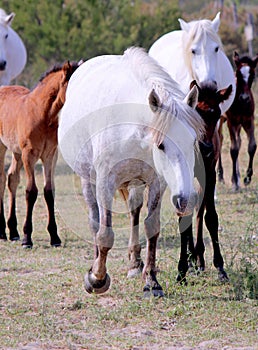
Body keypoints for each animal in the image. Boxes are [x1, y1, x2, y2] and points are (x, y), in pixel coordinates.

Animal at [0, 59, 80, 246]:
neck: (43, 115)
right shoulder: (29, 154)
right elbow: (31, 191)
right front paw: (27, 238)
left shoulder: (50, 155)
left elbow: (49, 192)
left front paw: (55, 237)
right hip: (3, 147)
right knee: (1, 179)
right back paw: (1, 232)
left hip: (15, 152)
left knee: (12, 179)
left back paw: (13, 232)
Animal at [59, 46, 206, 296]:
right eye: (161, 145)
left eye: (193, 141)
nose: (185, 199)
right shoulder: (105, 182)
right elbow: (105, 233)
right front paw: (96, 278)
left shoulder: (156, 182)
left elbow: (151, 227)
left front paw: (151, 282)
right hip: (88, 179)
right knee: (95, 220)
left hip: (136, 183)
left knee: (134, 213)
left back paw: (135, 264)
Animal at [218, 50, 258, 190]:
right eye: (238, 75)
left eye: (252, 75)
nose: (245, 98)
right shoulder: (232, 122)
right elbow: (233, 149)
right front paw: (235, 182)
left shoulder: (248, 120)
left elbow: (252, 146)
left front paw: (247, 178)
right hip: (220, 120)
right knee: (219, 140)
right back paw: (221, 176)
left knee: (238, 141)